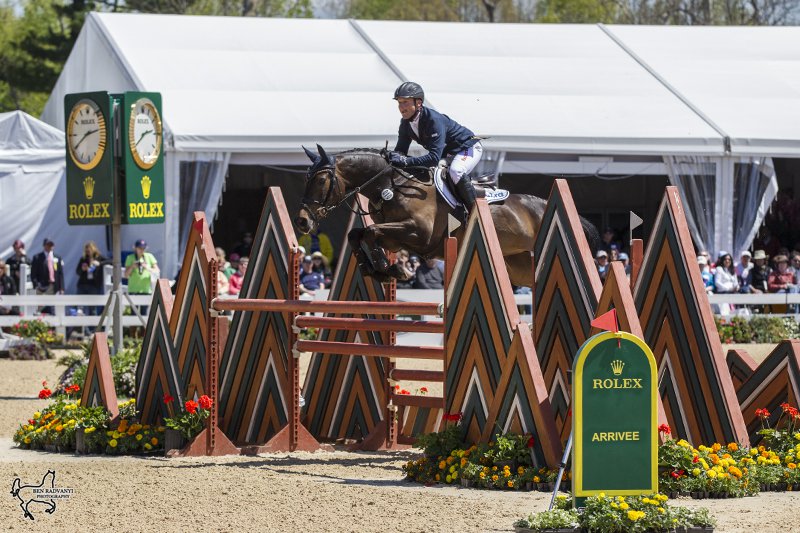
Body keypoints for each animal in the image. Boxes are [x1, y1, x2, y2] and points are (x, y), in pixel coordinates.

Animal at [296, 145, 600, 286]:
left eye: (321, 181)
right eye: (305, 179)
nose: (302, 220)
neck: (391, 185)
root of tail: (541, 203)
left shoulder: (418, 234)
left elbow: (370, 232)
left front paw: (389, 268)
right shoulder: (396, 236)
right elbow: (358, 234)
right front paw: (379, 269)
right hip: (518, 266)